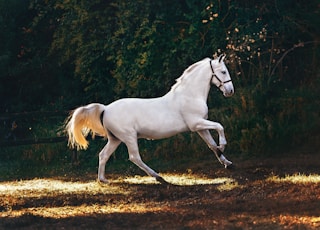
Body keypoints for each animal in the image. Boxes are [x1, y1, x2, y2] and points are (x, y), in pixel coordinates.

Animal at [65, 54, 235, 183]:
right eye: (223, 72)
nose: (230, 91)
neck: (190, 95)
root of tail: (106, 109)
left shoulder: (201, 127)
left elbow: (212, 145)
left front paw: (227, 163)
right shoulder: (196, 124)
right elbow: (220, 126)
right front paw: (223, 146)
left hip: (115, 139)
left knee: (103, 155)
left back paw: (103, 180)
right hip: (129, 137)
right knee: (134, 157)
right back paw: (158, 177)